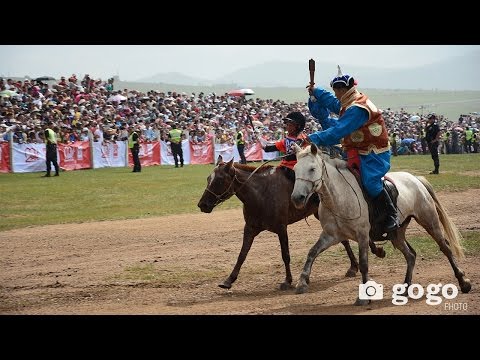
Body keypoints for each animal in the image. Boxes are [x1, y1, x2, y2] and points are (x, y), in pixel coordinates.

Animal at [197, 156, 362, 292]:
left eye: (219, 180)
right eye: (208, 178)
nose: (202, 204)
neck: (261, 193)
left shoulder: (281, 228)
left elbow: (285, 255)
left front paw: (287, 281)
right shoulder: (249, 228)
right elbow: (242, 254)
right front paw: (229, 280)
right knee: (343, 239)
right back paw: (353, 267)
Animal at [290, 142, 470, 306]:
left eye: (312, 169)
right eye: (295, 169)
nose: (297, 198)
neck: (339, 196)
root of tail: (415, 179)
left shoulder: (362, 235)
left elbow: (364, 264)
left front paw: (363, 296)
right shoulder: (331, 235)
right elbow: (312, 252)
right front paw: (302, 282)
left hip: (430, 221)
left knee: (445, 248)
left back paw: (463, 281)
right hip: (397, 234)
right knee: (410, 255)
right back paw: (405, 288)